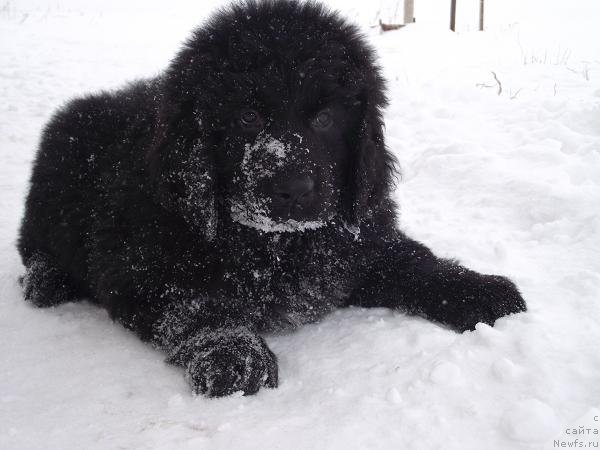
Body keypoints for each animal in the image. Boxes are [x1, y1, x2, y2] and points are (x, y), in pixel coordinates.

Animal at [18, 0, 524, 398]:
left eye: (324, 119)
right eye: (246, 117)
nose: (293, 189)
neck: (275, 245)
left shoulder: (360, 240)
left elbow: (413, 261)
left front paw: (482, 290)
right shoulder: (139, 270)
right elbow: (197, 305)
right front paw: (234, 354)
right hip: (58, 168)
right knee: (32, 246)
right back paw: (46, 281)